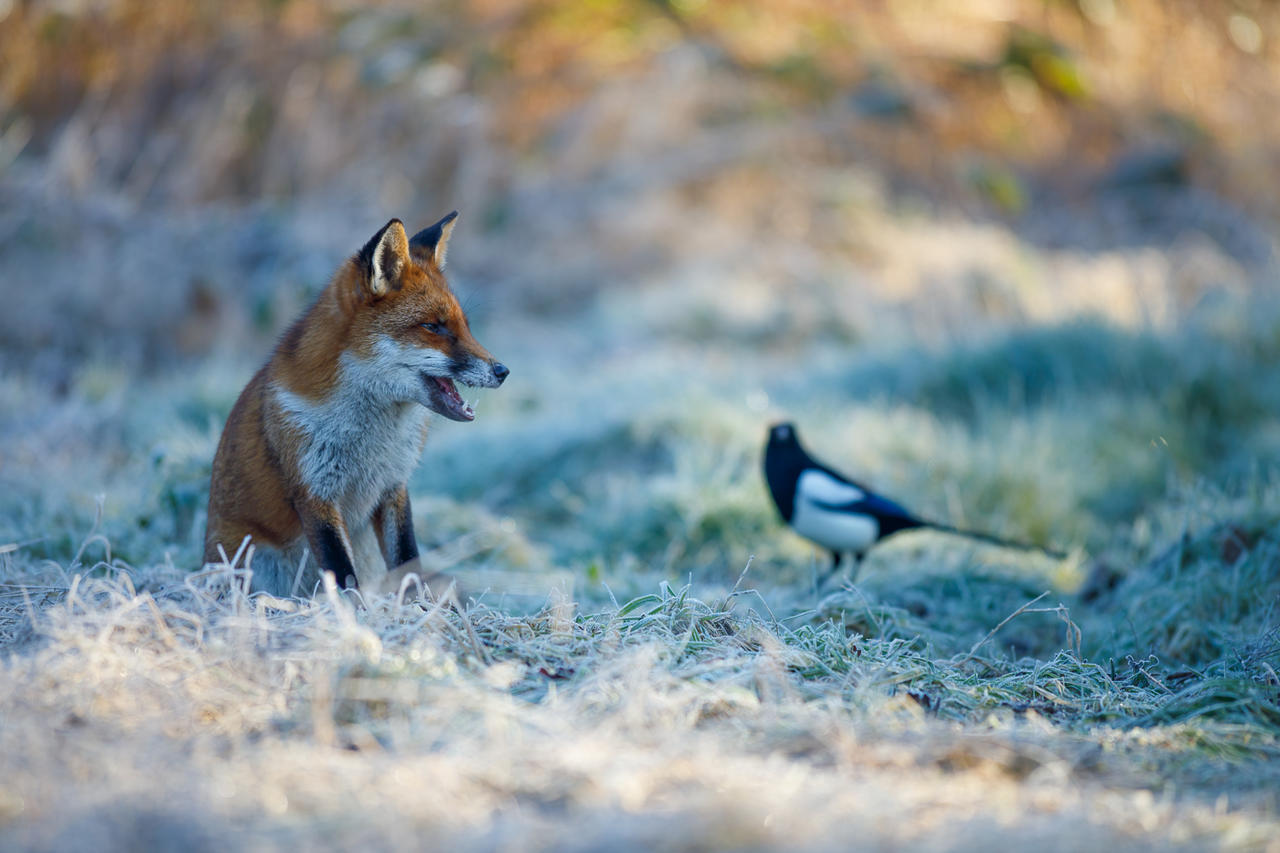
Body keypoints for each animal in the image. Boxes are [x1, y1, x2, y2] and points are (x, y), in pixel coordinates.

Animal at [202, 212, 506, 594]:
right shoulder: (315, 493)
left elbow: (408, 561)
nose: (503, 371)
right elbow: (342, 574)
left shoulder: (393, 486)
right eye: (433, 327)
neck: (372, 441)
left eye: (466, 326)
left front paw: (416, 607)